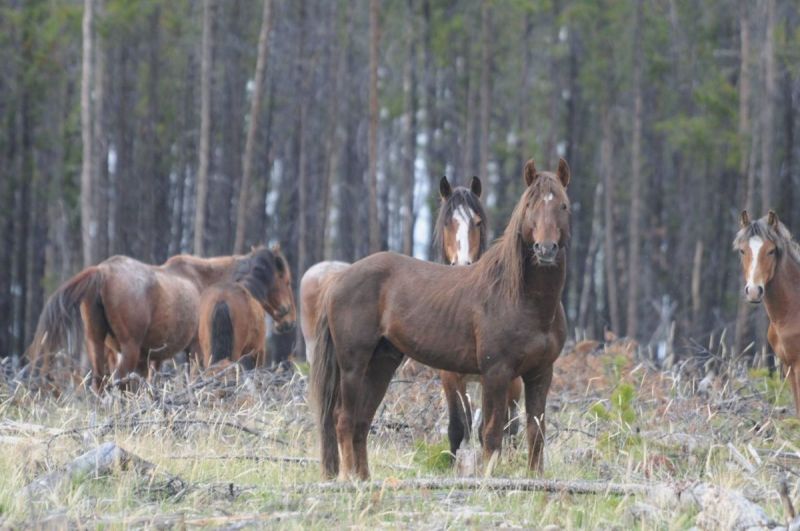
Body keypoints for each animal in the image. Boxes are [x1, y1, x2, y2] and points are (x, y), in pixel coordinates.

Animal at [26, 246, 296, 390]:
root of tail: (102, 271)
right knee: (118, 382)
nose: (289, 321)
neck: (205, 281)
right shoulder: (195, 350)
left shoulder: (152, 358)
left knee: (101, 383)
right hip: (128, 350)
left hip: (97, 344)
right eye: (286, 280)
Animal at [311, 158, 571, 480]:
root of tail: (338, 279)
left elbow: (535, 433)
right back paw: (350, 480)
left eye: (563, 205)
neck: (523, 298)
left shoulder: (539, 373)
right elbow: (490, 434)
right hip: (353, 364)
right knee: (343, 418)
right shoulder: (495, 373)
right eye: (530, 205)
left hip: (381, 363)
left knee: (361, 420)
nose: (545, 249)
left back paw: (365, 479)